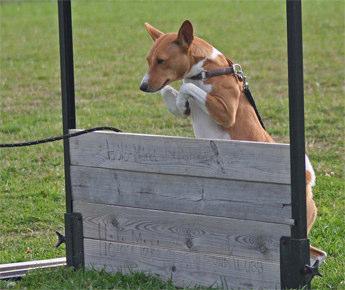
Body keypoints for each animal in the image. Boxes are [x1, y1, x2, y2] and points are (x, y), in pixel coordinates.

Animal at [139, 19, 326, 260]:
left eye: (161, 61)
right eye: (148, 60)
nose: (142, 86)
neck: (205, 72)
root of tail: (307, 186)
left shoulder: (226, 113)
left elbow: (186, 87)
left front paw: (182, 97)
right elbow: (170, 91)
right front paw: (180, 102)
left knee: (319, 254)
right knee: (319, 253)